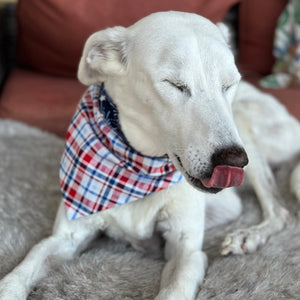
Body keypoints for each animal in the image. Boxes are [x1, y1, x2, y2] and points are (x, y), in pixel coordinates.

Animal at [0, 11, 298, 300]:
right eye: (174, 84)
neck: (139, 167)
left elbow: (175, 289)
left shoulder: (186, 252)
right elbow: (24, 268)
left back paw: (248, 237)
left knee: (280, 211)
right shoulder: (65, 237)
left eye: (229, 84)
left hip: (244, 124)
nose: (234, 161)